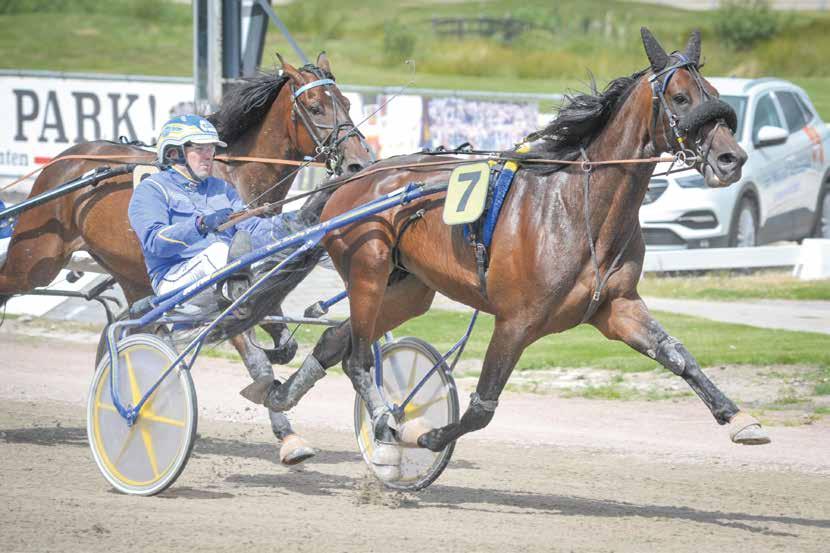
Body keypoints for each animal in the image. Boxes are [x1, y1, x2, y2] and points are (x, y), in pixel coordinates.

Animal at [0, 51, 374, 464]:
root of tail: (60, 163)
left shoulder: (258, 285)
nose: (359, 162)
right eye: (315, 106)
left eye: (347, 103)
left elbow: (280, 343)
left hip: (129, 274)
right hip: (35, 260)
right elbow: (256, 361)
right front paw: (288, 435)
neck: (236, 175)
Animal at [264, 27, 768, 474]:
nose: (732, 158)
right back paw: (387, 426)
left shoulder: (617, 307)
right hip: (367, 269)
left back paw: (280, 396)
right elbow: (481, 408)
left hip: (408, 288)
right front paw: (427, 436)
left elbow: (679, 355)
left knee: (336, 340)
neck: (578, 208)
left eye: (714, 92)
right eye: (681, 98)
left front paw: (740, 418)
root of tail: (353, 176)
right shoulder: (516, 321)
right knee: (358, 358)